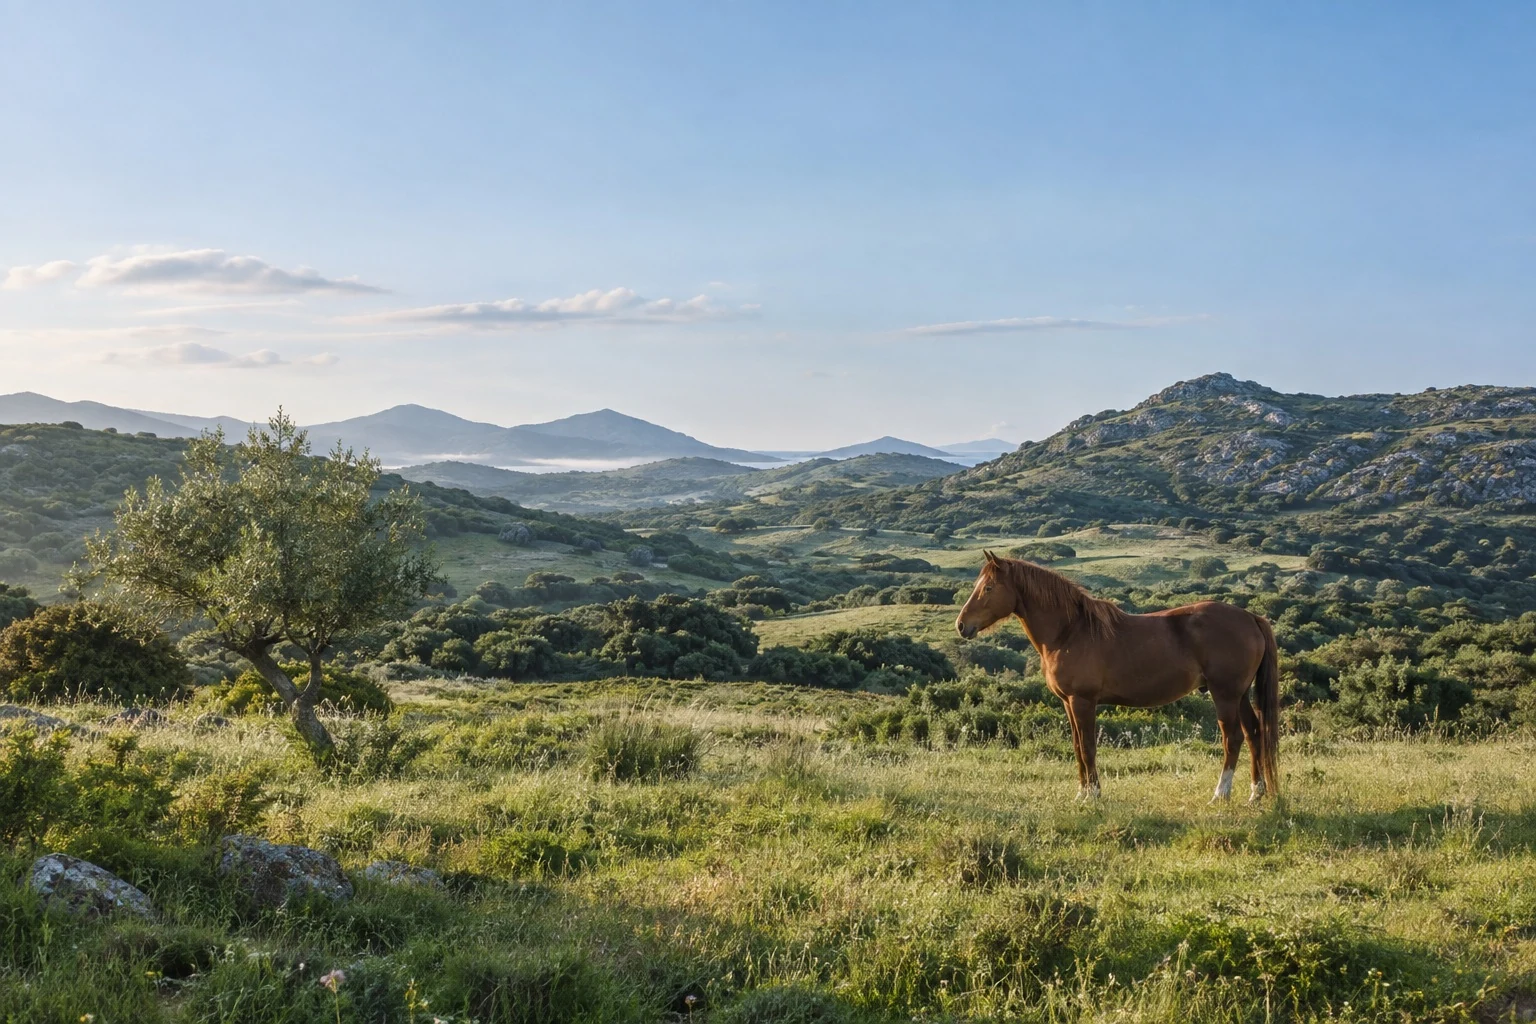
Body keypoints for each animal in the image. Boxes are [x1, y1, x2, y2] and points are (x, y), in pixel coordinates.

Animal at [955, 551, 1279, 803]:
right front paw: (1082, 793)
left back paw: (1220, 794)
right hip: (1239, 695)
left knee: (1232, 738)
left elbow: (1088, 748)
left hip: (1224, 694)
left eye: (988, 588)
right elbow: (1077, 747)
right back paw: (1256, 793)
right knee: (1254, 734)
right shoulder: (1068, 703)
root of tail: (1251, 617)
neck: (1069, 631)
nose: (961, 625)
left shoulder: (1082, 701)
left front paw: (1093, 795)